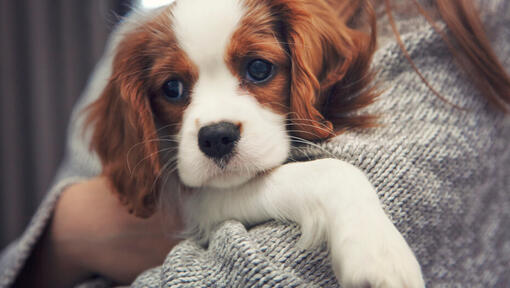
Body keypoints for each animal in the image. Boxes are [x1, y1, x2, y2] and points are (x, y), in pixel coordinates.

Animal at [85, 0, 424, 286]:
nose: (216, 137)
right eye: (172, 88)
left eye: (259, 68)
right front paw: (377, 254)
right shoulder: (199, 201)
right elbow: (330, 171)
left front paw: (377, 249)